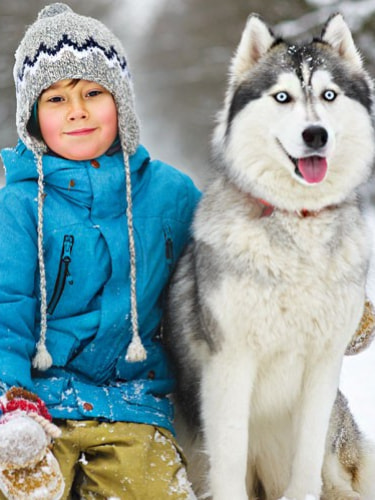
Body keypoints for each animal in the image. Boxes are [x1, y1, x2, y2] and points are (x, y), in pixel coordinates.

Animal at [166, 11, 375, 500]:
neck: (299, 223)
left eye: (329, 95)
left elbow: (306, 462)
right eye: (283, 97)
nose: (315, 134)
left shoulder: (323, 364)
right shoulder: (231, 364)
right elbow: (227, 460)